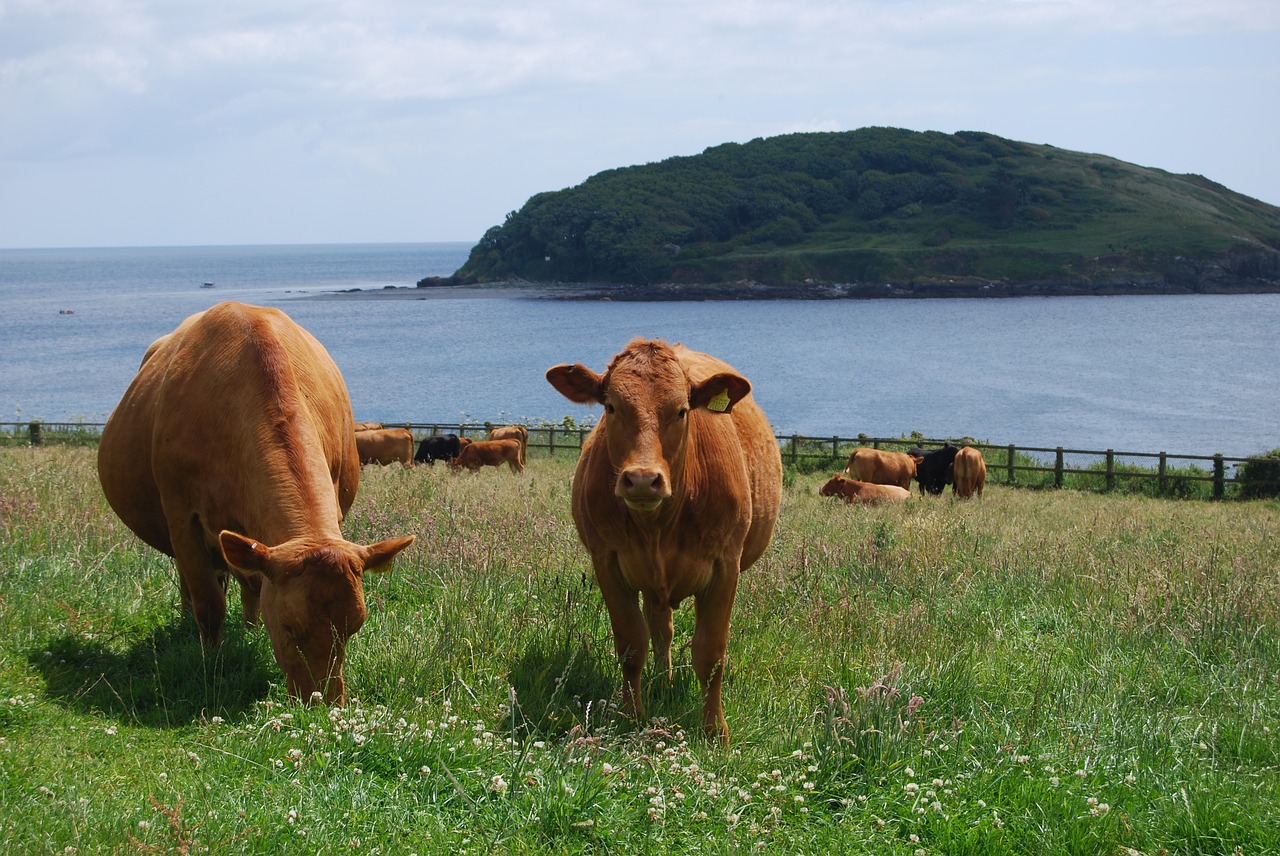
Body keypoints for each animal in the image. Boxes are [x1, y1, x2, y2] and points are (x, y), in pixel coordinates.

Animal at [98, 303, 414, 706]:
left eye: (355, 626)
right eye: (289, 625)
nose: (324, 704)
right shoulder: (182, 517)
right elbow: (208, 602)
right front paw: (211, 661)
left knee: (246, 585)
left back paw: (248, 631)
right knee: (194, 585)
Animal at [542, 337, 778, 742]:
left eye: (682, 411)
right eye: (611, 406)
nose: (641, 479)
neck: (658, 526)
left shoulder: (726, 565)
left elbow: (711, 652)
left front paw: (715, 731)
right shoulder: (607, 561)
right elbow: (631, 644)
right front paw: (631, 716)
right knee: (660, 629)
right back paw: (662, 680)